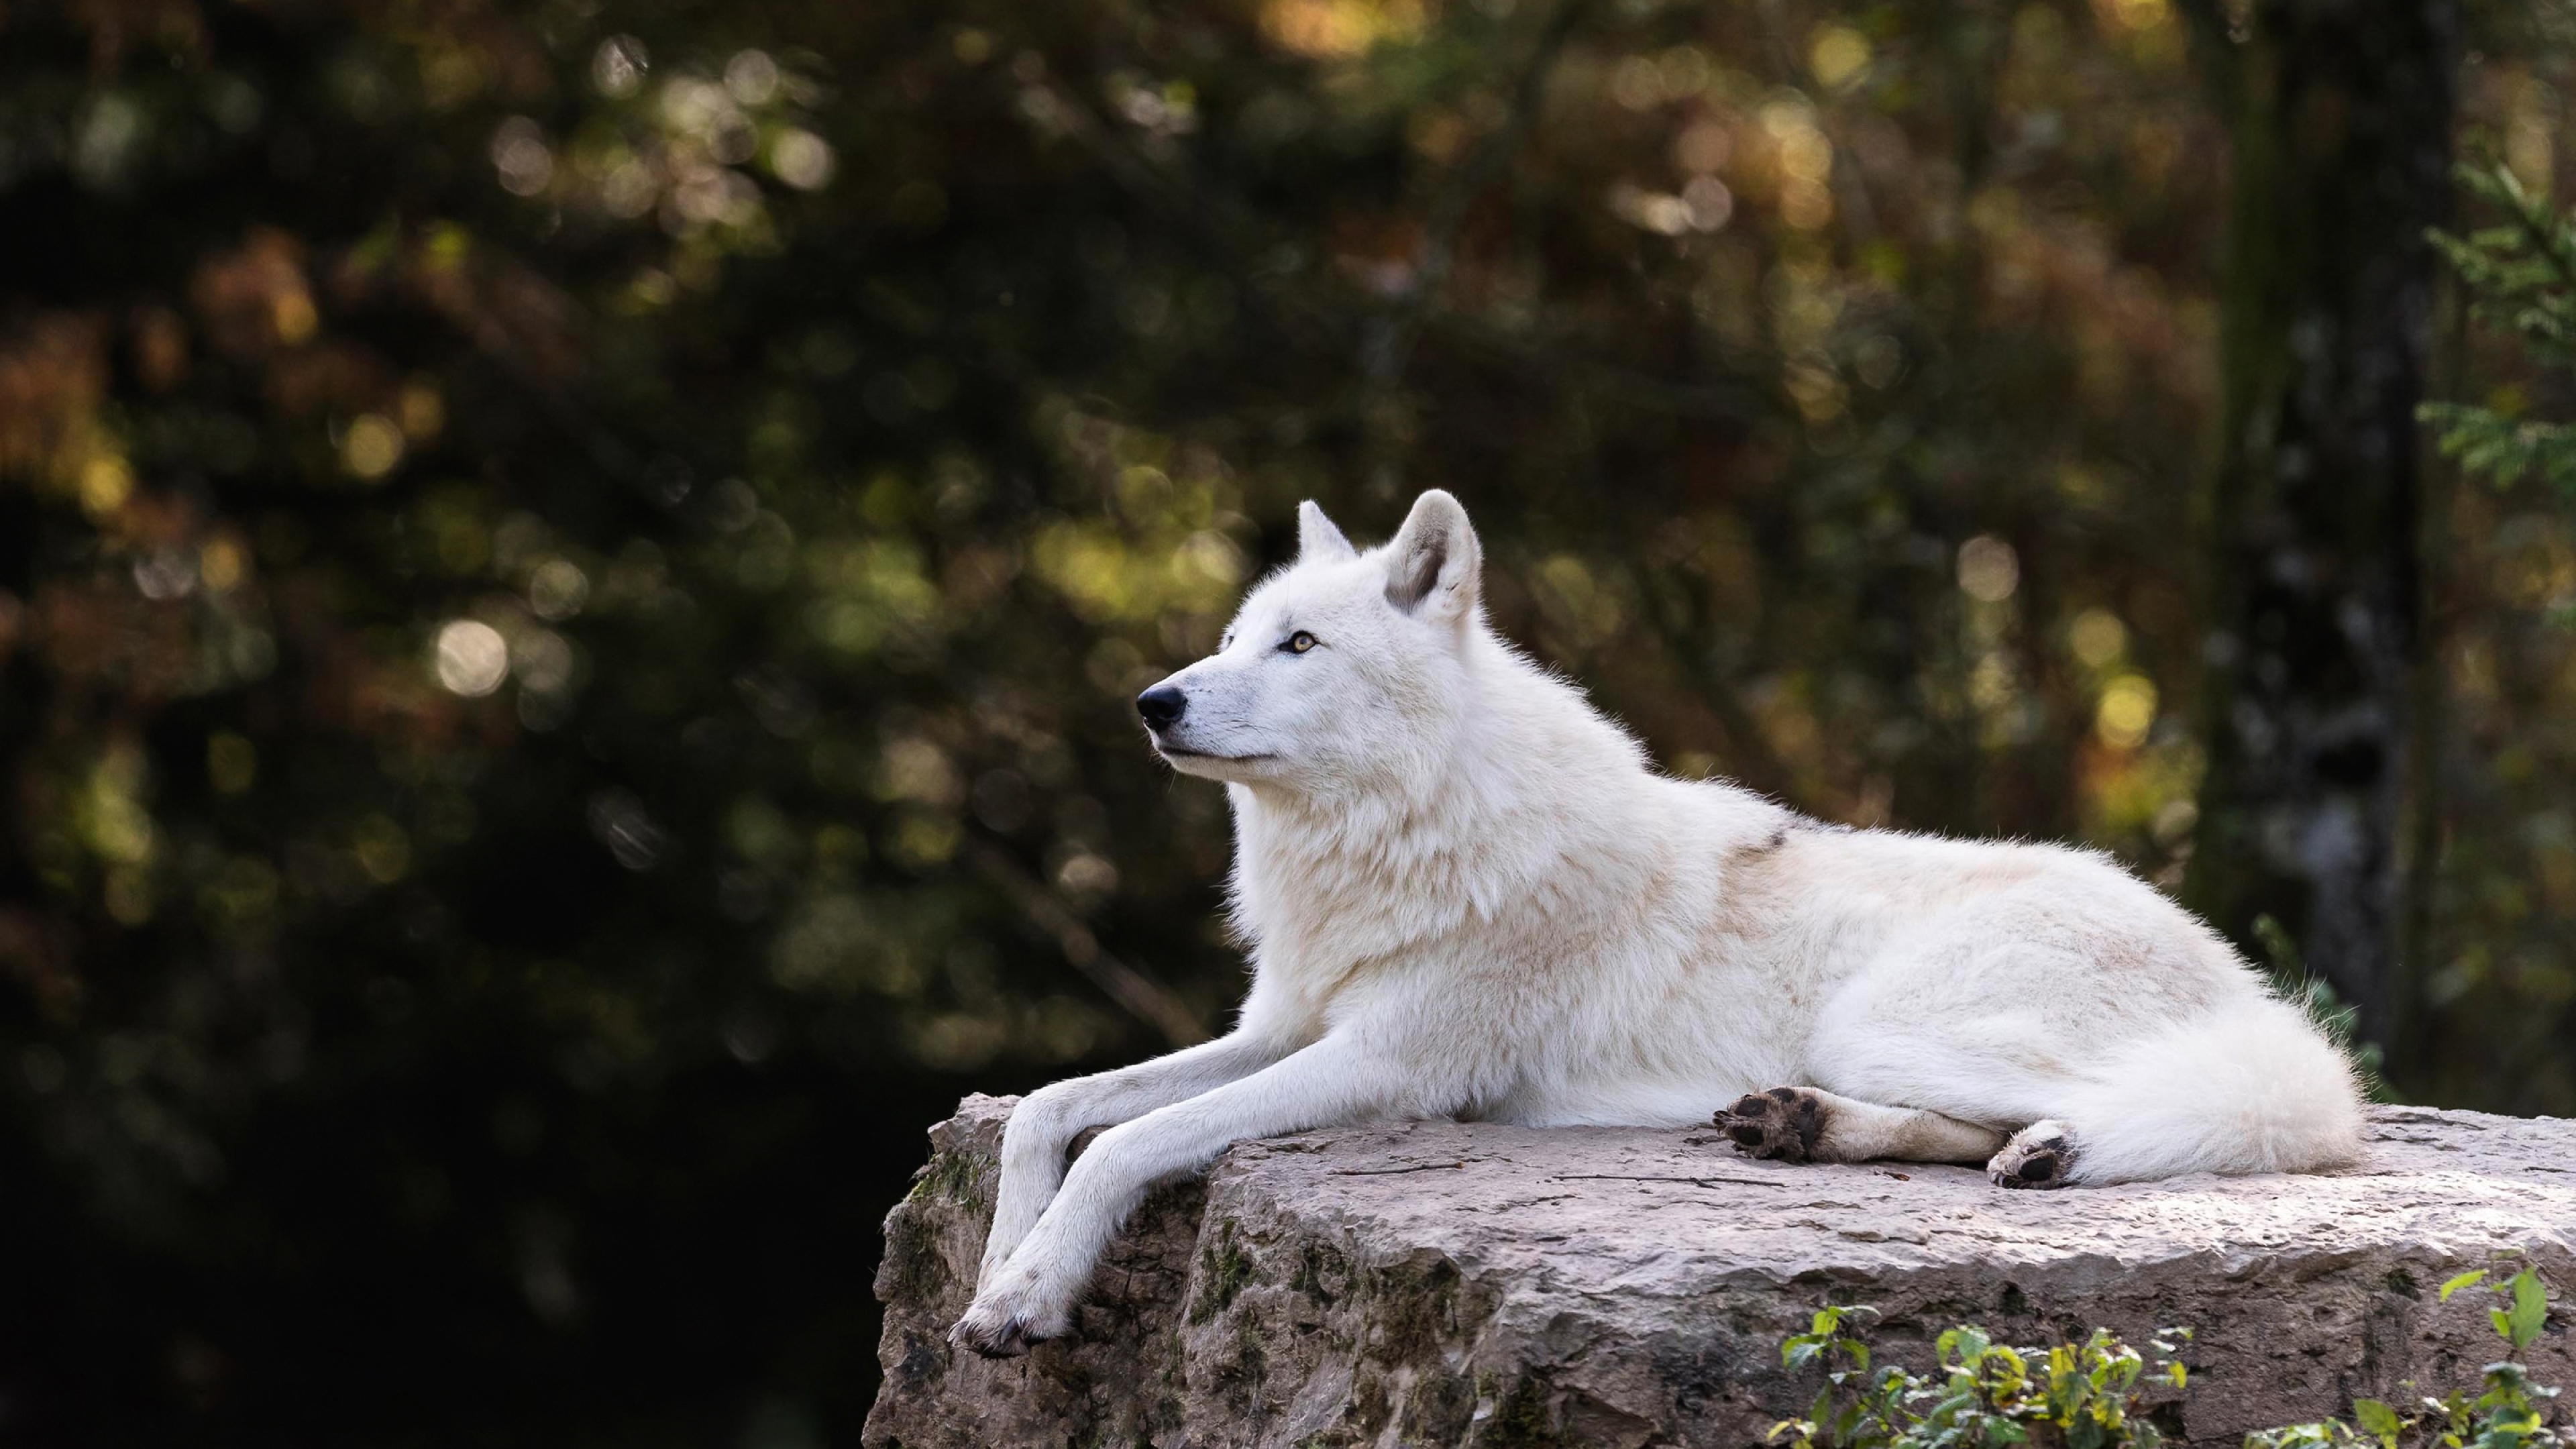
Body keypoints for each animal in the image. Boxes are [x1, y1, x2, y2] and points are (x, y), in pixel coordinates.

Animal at [948, 487, 2359, 1350]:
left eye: (1300, 647)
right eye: (1237, 637)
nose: (1154, 703)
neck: (1400, 837)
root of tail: (2243, 984)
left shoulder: (1386, 1065)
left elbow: (1130, 1145)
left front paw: (1030, 1294)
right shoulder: (1283, 1028)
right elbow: (1052, 1110)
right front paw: (999, 1264)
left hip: (1890, 1019)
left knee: (2209, 1118)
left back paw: (2048, 1148)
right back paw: (1812, 1129)